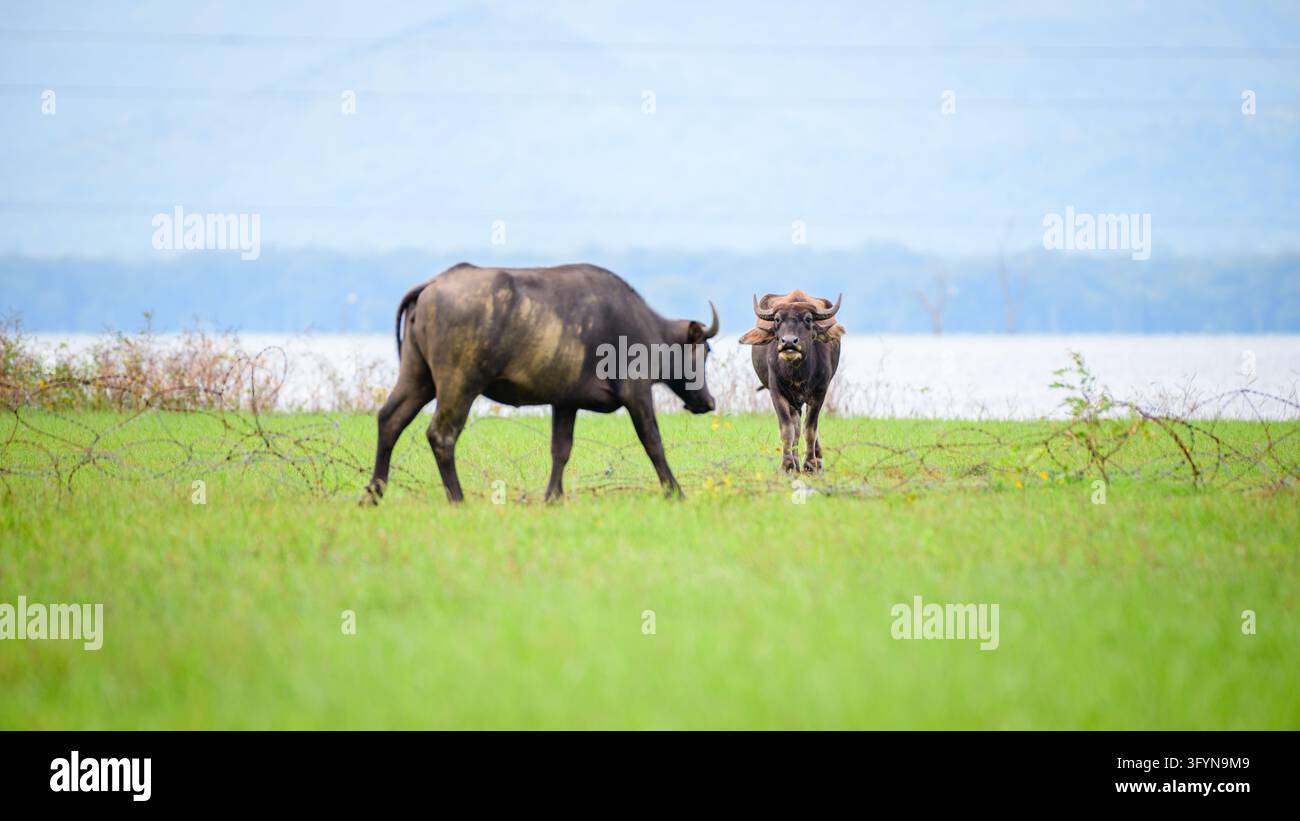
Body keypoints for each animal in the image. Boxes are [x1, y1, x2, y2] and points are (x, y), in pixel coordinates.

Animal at [361, 262, 719, 504]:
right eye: (703, 351)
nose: (709, 401)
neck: (645, 328)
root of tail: (433, 284)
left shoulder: (565, 402)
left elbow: (561, 448)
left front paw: (553, 497)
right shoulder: (637, 393)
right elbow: (653, 442)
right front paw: (675, 491)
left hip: (417, 377)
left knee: (389, 419)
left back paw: (373, 493)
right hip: (458, 384)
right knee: (441, 435)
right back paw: (458, 499)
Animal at [739, 290, 845, 473]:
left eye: (808, 319)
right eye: (777, 319)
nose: (789, 342)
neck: (797, 372)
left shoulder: (820, 392)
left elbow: (810, 429)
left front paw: (810, 464)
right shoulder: (776, 392)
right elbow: (787, 429)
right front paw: (787, 465)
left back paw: (817, 460)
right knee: (795, 426)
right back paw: (795, 462)